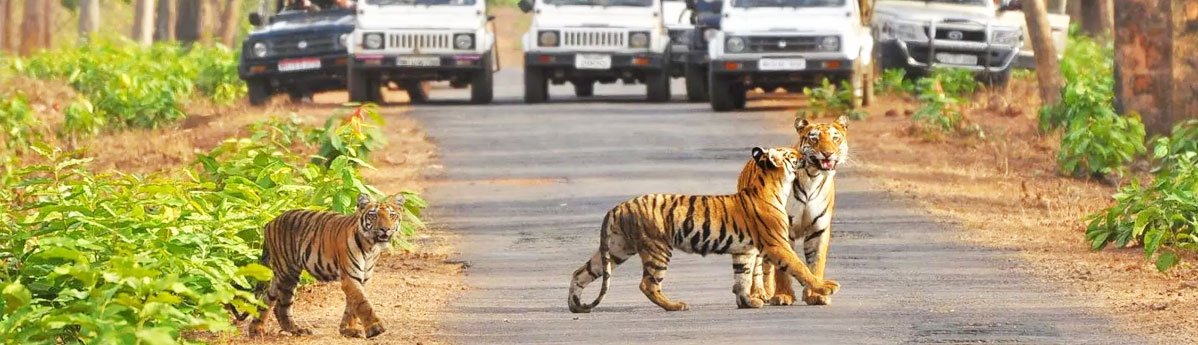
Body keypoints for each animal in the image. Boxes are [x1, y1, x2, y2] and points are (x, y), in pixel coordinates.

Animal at [244, 192, 407, 337]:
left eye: (392, 216)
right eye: (373, 215)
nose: (385, 229)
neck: (371, 247)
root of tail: (270, 223)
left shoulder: (364, 278)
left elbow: (352, 306)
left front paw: (348, 330)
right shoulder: (350, 277)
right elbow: (362, 303)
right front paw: (376, 328)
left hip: (280, 274)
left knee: (267, 298)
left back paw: (256, 330)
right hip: (288, 272)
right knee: (281, 305)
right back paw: (296, 330)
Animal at [567, 145, 843, 311]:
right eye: (790, 154)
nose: (802, 151)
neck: (774, 186)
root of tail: (618, 207)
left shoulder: (744, 251)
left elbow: (742, 277)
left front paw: (747, 302)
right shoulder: (777, 244)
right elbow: (799, 267)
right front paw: (825, 287)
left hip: (617, 249)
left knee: (581, 272)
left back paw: (575, 305)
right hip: (657, 248)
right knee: (648, 284)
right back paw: (675, 305)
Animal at [733, 116, 848, 306]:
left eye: (835, 138)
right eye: (814, 139)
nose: (828, 153)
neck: (813, 178)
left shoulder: (819, 229)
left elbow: (816, 263)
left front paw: (816, 295)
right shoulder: (782, 229)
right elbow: (783, 268)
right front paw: (783, 295)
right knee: (757, 266)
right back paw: (758, 294)